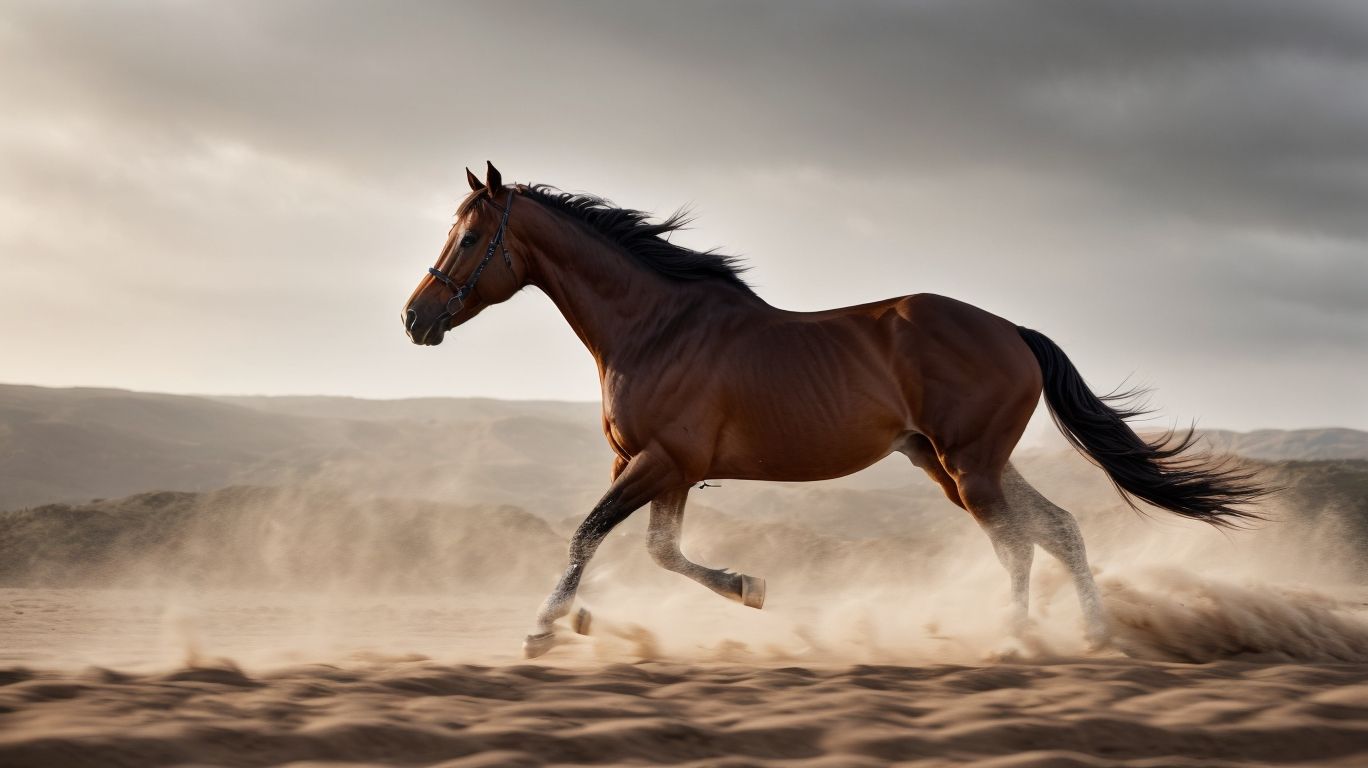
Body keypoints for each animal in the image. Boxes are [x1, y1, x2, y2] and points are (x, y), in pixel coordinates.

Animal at [403, 162, 1265, 658]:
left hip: (969, 465)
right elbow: (659, 551)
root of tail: (1013, 332)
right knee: (1058, 530)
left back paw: (1016, 642)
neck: (654, 326)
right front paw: (744, 589)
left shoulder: (659, 463)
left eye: (471, 237)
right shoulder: (663, 470)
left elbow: (590, 533)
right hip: (951, 463)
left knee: (1018, 543)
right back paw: (1093, 634)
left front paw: (545, 629)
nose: (416, 319)